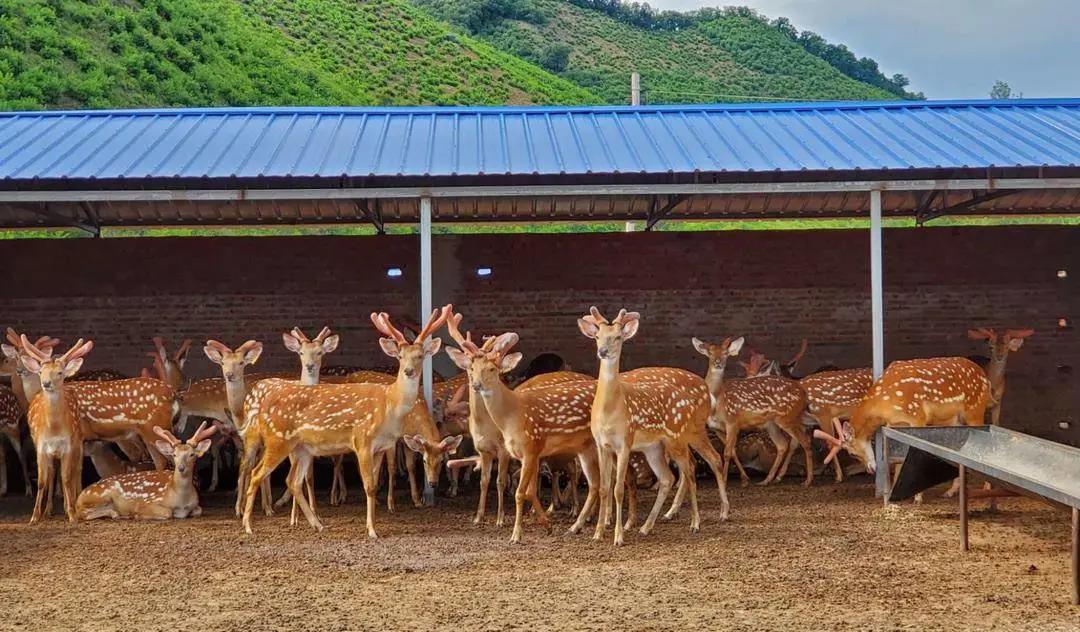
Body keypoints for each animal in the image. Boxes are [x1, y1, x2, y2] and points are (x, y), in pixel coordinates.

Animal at [76, 419, 217, 518]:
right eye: (174, 454)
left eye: (192, 454)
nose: (181, 468)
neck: (181, 500)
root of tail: (80, 495)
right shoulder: (147, 501)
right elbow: (167, 512)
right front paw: (137, 514)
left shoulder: (196, 505)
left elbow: (198, 510)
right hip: (101, 496)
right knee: (81, 513)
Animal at [578, 308, 730, 544]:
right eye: (597, 336)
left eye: (618, 337)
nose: (603, 351)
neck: (609, 411)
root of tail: (706, 390)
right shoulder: (602, 445)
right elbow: (604, 487)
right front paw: (598, 532)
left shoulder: (625, 442)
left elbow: (618, 488)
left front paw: (618, 535)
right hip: (656, 447)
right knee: (670, 476)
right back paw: (648, 526)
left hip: (684, 434)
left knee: (697, 465)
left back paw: (702, 520)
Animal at [691, 337, 812, 486]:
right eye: (710, 352)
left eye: (725, 353)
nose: (718, 362)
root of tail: (803, 392)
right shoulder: (716, 428)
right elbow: (732, 451)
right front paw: (744, 479)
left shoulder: (732, 421)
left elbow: (726, 453)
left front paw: (724, 480)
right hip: (771, 424)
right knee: (783, 445)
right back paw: (768, 480)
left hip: (787, 417)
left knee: (804, 441)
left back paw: (808, 480)